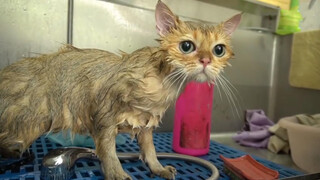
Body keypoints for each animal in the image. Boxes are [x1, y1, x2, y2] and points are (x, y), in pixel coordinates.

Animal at [0, 0, 240, 179]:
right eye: (187, 46)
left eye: (219, 50)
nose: (206, 61)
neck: (163, 86)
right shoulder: (104, 118)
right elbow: (109, 153)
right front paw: (118, 174)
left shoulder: (146, 123)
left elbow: (150, 151)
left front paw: (158, 168)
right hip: (30, 121)